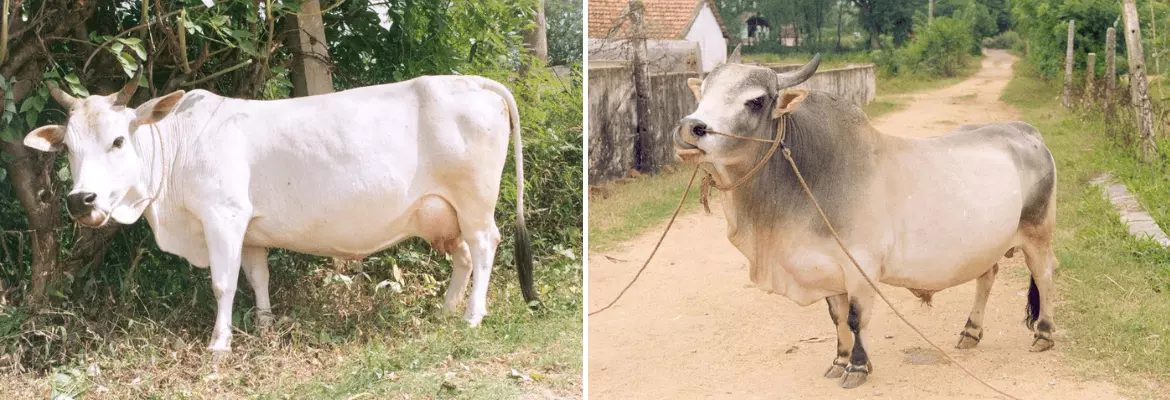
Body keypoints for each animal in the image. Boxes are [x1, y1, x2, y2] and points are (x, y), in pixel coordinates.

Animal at [23, 74, 538, 355]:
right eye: (67, 148)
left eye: (117, 140)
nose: (81, 200)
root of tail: (471, 80)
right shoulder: (250, 230)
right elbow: (257, 278)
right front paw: (266, 326)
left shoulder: (223, 217)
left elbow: (223, 283)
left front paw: (220, 344)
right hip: (443, 212)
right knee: (463, 256)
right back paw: (447, 310)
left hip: (475, 201)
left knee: (484, 246)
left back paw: (472, 316)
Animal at [673, 55, 1058, 389]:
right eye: (702, 92)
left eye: (755, 101)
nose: (690, 128)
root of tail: (1027, 131)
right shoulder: (830, 272)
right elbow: (838, 318)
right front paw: (839, 360)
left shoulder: (861, 268)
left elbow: (857, 318)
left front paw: (857, 367)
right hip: (988, 244)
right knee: (987, 276)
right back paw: (970, 332)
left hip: (1037, 233)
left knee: (1044, 275)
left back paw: (1043, 334)